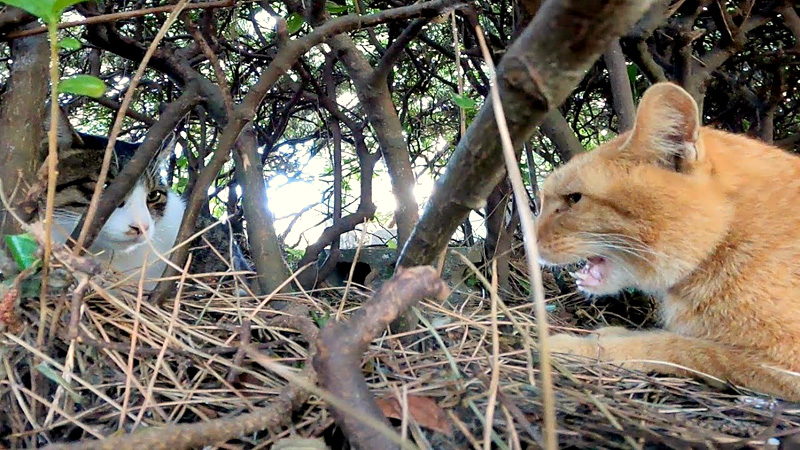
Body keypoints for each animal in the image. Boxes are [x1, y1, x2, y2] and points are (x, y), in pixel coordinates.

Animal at [536, 81, 800, 400]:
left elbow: (684, 347)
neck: (726, 236)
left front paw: (583, 346)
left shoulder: (786, 364)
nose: (529, 238)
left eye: (574, 199)